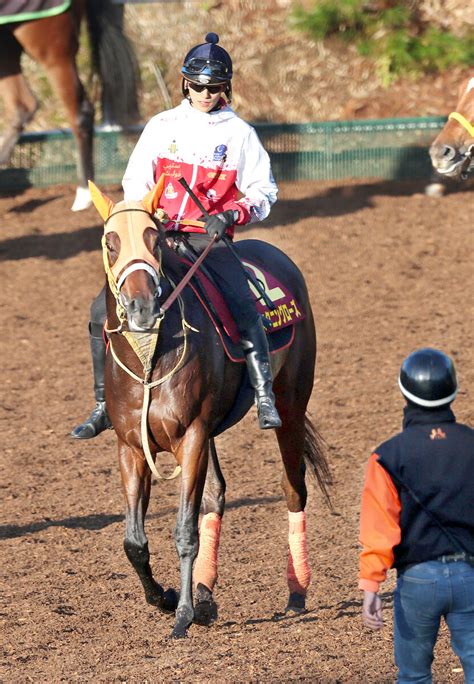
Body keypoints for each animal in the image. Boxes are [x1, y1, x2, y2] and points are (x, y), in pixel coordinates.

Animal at [89, 179, 332, 640]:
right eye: (110, 243)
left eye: (154, 239)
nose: (142, 308)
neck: (150, 358)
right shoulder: (131, 447)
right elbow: (134, 541)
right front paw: (167, 598)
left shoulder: (192, 436)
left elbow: (184, 531)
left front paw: (181, 615)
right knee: (216, 494)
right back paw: (204, 594)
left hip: (290, 403)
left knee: (294, 488)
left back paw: (296, 590)